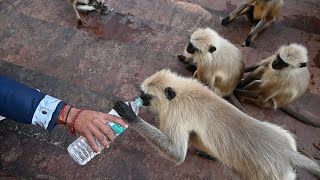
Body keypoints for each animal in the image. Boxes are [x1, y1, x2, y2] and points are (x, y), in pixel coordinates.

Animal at [112, 69, 320, 180]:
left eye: (146, 96)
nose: (140, 99)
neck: (181, 91)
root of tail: (286, 153)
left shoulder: (176, 113)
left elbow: (177, 153)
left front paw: (131, 116)